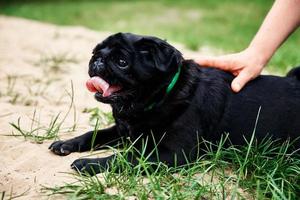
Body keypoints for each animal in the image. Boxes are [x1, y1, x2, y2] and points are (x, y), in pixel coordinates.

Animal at [49, 32, 300, 174]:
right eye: (95, 52)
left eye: (121, 62)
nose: (98, 60)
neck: (160, 97)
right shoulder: (126, 132)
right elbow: (95, 134)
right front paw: (68, 143)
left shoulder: (173, 153)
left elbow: (127, 158)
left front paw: (89, 164)